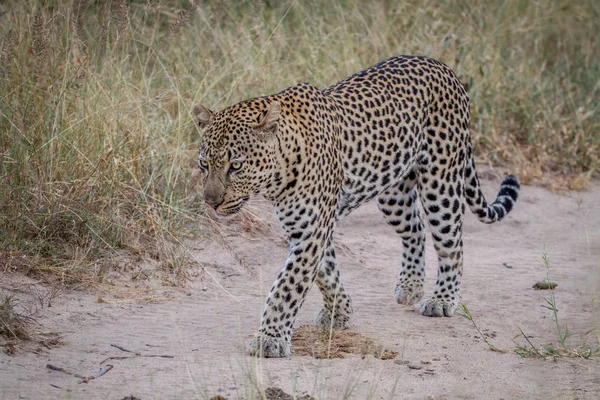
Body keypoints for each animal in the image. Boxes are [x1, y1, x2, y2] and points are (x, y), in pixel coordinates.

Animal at [193, 54, 520, 358]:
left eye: (236, 166)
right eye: (204, 165)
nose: (211, 203)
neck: (280, 173)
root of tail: (441, 65)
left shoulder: (312, 230)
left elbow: (288, 285)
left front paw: (269, 339)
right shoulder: (306, 227)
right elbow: (326, 273)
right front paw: (340, 312)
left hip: (441, 183)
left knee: (452, 243)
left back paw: (442, 300)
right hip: (393, 196)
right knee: (415, 231)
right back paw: (411, 287)